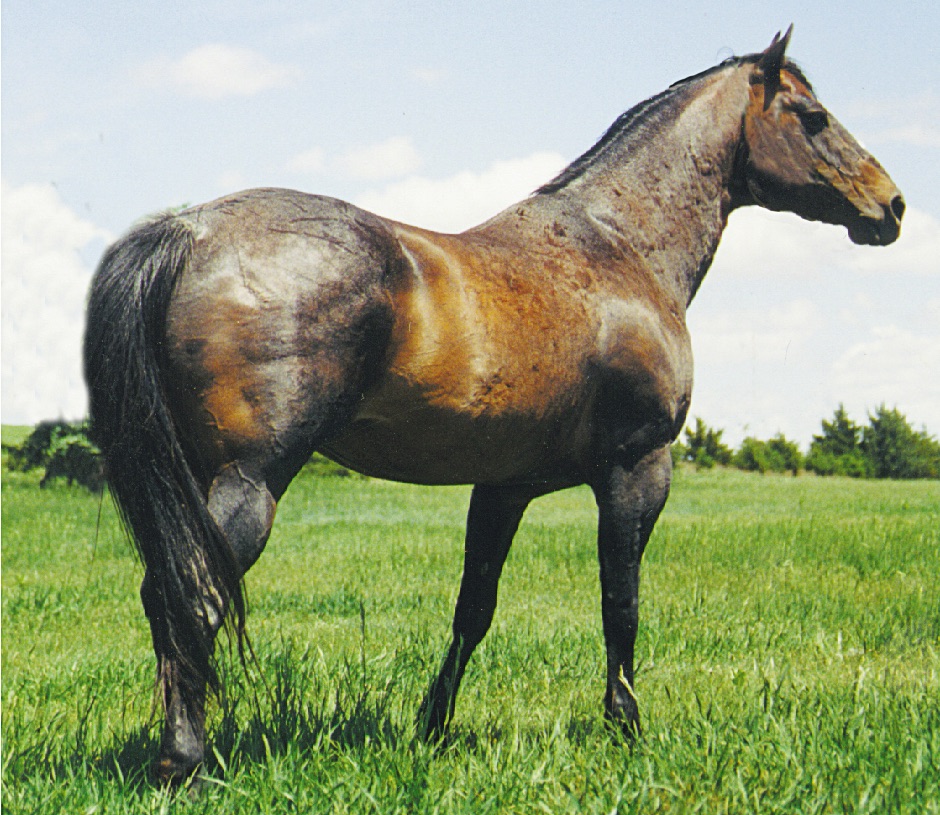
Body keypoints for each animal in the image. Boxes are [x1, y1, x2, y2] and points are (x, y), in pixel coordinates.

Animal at [84, 28, 904, 784]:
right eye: (813, 116)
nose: (890, 204)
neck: (620, 248)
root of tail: (190, 230)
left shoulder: (504, 487)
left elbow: (473, 608)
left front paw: (432, 725)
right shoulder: (637, 470)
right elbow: (621, 601)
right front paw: (627, 727)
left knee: (167, 594)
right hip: (250, 479)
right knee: (193, 594)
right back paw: (185, 760)